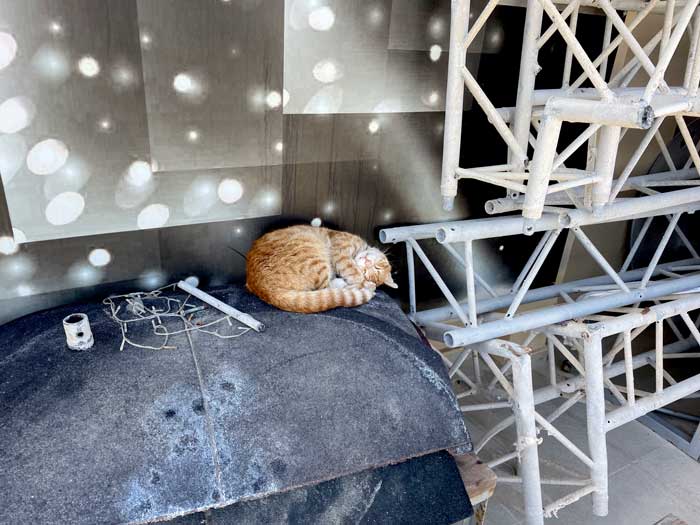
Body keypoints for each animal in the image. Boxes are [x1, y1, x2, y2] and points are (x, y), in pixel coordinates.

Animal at [246, 225, 397, 313]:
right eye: (376, 267)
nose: (367, 262)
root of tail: (260, 284)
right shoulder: (341, 253)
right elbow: (353, 271)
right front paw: (363, 281)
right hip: (316, 257)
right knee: (328, 288)